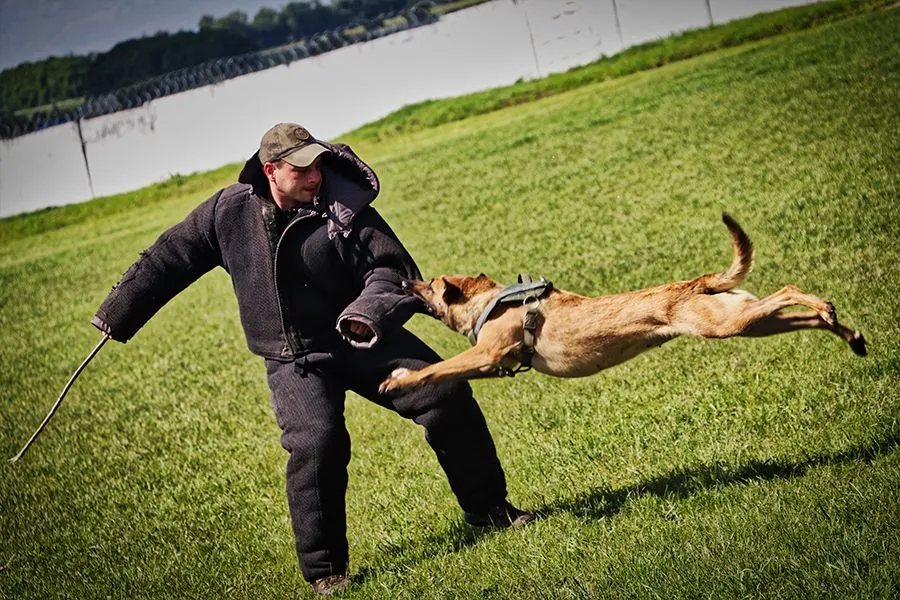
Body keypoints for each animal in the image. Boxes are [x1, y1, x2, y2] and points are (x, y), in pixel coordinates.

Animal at [378, 213, 864, 396]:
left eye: (428, 285)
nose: (403, 278)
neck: (491, 300)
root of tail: (695, 283)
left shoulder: (485, 354)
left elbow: (436, 369)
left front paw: (398, 380)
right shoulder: (490, 362)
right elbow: (441, 369)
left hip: (726, 322)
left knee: (788, 288)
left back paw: (827, 309)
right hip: (743, 318)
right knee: (799, 316)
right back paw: (847, 331)